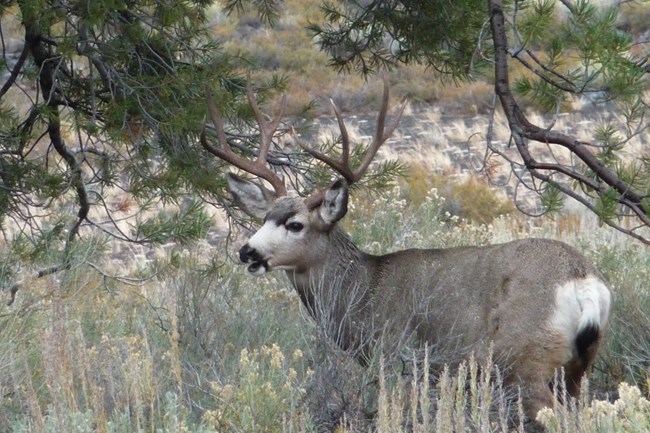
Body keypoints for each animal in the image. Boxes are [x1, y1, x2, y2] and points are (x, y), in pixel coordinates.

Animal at [202, 80, 608, 418]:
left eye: (295, 224)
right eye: (264, 218)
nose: (247, 252)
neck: (364, 289)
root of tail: (584, 281)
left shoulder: (397, 358)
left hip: (525, 360)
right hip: (576, 369)